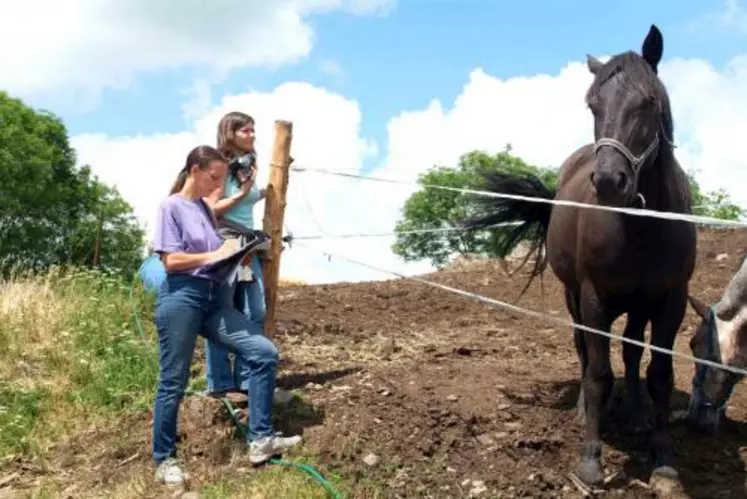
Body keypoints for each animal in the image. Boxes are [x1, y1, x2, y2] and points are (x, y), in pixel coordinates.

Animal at [464, 25, 700, 490]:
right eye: (593, 105)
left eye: (648, 101)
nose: (609, 181)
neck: (642, 225)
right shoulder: (594, 298)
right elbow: (597, 374)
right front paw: (591, 460)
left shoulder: (671, 301)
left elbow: (659, 376)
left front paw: (664, 460)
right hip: (573, 296)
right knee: (583, 351)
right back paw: (584, 412)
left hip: (638, 304)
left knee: (630, 353)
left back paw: (635, 414)